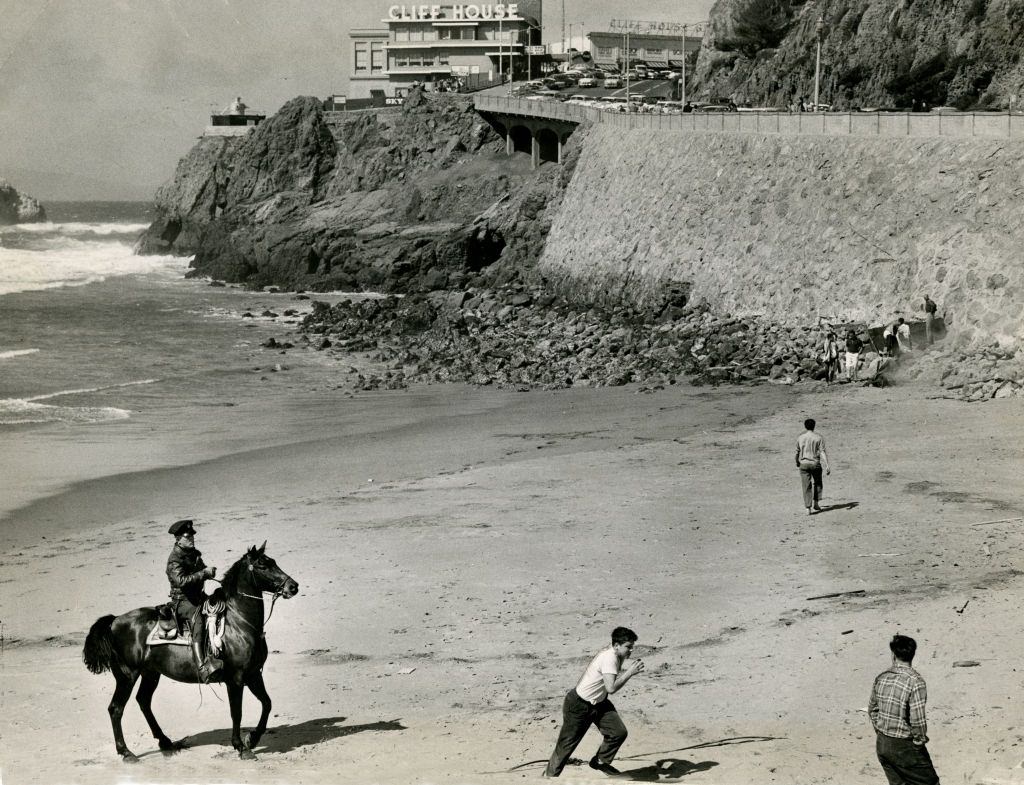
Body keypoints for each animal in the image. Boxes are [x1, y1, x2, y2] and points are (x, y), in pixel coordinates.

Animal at [81, 544, 299, 757]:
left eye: (273, 561)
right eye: (263, 565)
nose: (293, 586)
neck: (239, 623)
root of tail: (114, 621)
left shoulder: (253, 674)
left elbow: (267, 703)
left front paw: (252, 739)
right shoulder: (236, 679)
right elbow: (236, 712)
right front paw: (240, 746)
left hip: (150, 673)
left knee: (143, 701)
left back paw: (165, 742)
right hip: (127, 676)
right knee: (116, 708)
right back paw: (126, 752)